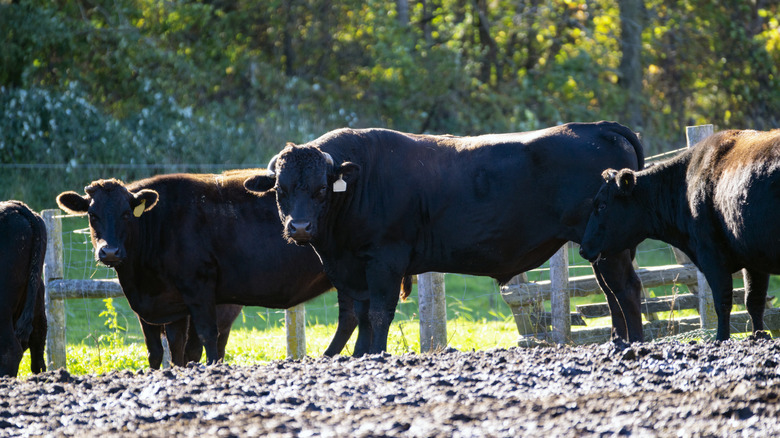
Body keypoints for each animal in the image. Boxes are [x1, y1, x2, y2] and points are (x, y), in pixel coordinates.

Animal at [56, 169, 365, 364]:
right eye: (92, 215)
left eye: (125, 214)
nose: (109, 251)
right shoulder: (163, 304)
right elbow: (163, 350)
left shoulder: (198, 287)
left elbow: (205, 336)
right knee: (351, 317)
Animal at [244, 121, 646, 355]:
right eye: (281, 189)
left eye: (320, 190)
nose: (299, 228)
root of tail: (596, 127)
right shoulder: (353, 268)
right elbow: (359, 314)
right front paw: (359, 355)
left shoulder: (385, 259)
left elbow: (378, 313)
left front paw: (375, 354)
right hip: (602, 247)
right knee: (610, 292)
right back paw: (617, 341)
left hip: (612, 246)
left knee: (626, 288)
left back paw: (635, 344)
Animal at [579, 129, 780, 341]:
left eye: (602, 205)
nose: (583, 248)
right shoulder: (753, 260)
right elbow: (754, 302)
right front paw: (759, 335)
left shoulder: (712, 256)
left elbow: (723, 302)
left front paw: (721, 338)